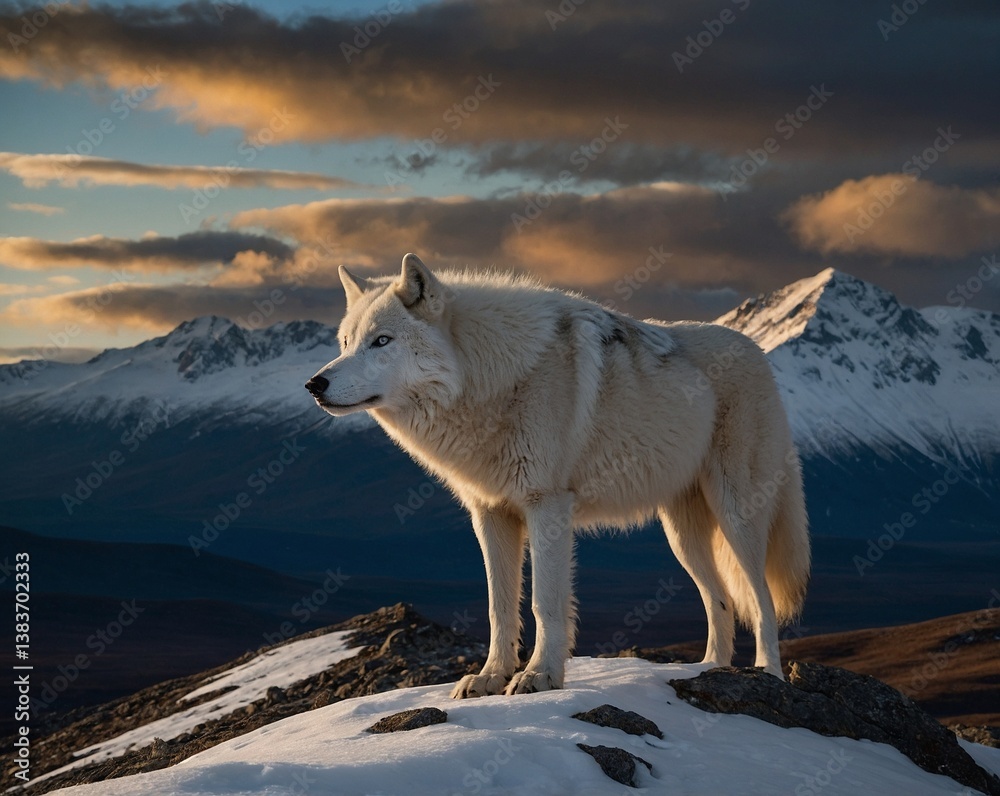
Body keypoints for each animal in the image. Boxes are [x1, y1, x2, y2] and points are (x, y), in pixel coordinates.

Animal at [306, 254, 810, 695]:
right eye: (346, 343)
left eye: (382, 341)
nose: (315, 384)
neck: (488, 377)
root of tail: (757, 351)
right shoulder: (490, 514)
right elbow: (499, 607)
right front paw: (489, 678)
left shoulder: (546, 505)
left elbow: (544, 603)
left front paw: (539, 677)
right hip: (681, 535)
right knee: (719, 599)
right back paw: (708, 669)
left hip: (736, 515)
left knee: (760, 599)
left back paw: (767, 674)